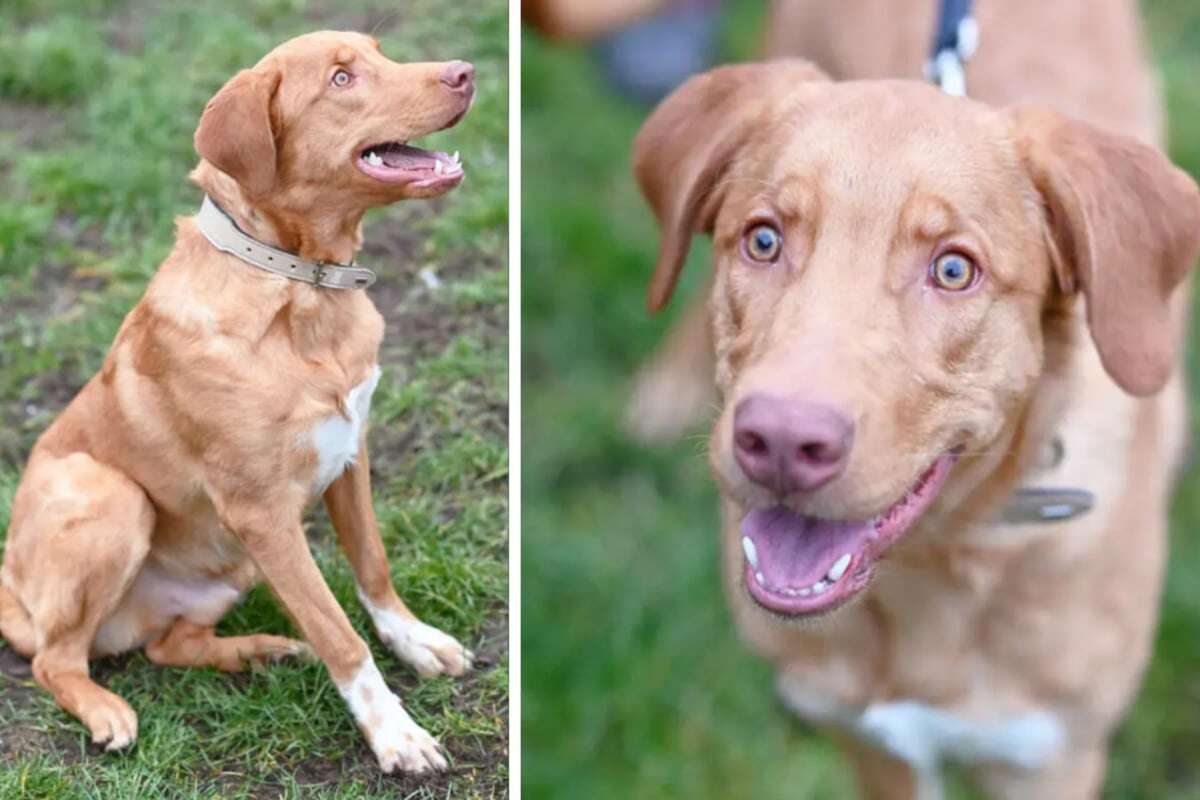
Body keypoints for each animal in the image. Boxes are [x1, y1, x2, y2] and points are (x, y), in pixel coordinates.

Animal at [0, 31, 477, 777]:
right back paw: (108, 710)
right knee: (55, 660)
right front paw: (395, 734)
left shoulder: (350, 454)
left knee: (170, 647)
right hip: (114, 498)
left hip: (233, 567)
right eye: (341, 78)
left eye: (379, 52)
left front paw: (415, 639)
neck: (301, 290)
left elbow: (372, 566)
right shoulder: (262, 513)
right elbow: (341, 635)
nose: (466, 73)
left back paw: (262, 652)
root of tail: (11, 587)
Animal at [628, 1, 1200, 796]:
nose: (781, 441)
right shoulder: (869, 738)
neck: (933, 565)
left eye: (954, 270)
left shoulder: (1048, 756)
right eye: (763, 241)